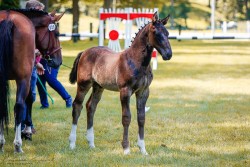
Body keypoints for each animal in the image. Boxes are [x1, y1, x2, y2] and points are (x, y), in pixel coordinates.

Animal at [0, 8, 63, 153]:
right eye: (57, 34)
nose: (58, 61)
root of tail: (8, 18)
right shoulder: (27, 78)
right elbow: (29, 100)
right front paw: (27, 131)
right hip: (24, 78)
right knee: (19, 105)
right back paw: (17, 145)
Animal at [69, 12, 173, 155]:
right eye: (155, 32)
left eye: (167, 33)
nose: (168, 54)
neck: (136, 61)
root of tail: (84, 52)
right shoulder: (125, 90)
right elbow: (126, 117)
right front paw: (126, 148)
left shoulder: (143, 91)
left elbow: (141, 118)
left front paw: (143, 149)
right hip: (83, 84)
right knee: (77, 106)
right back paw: (72, 143)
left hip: (98, 87)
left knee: (91, 106)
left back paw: (91, 143)